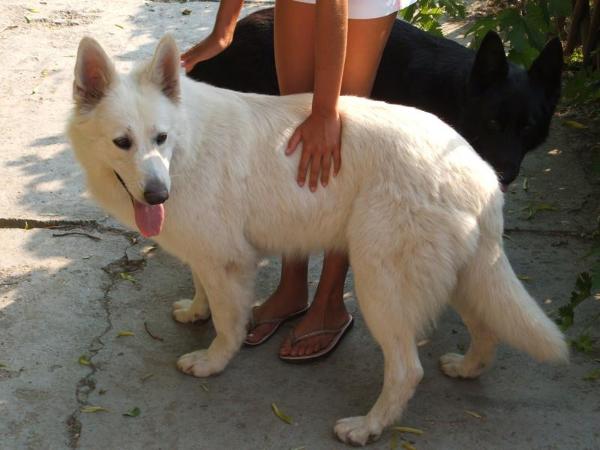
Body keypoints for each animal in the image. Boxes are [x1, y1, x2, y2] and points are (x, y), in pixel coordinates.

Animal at [67, 36, 568, 446]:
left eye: (160, 138)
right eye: (123, 142)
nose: (158, 195)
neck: (187, 147)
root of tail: (479, 169)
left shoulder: (228, 260)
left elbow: (228, 324)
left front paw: (213, 361)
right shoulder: (206, 249)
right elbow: (201, 287)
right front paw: (195, 311)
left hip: (379, 284)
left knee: (408, 370)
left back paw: (368, 426)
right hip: (460, 276)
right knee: (487, 329)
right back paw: (466, 367)